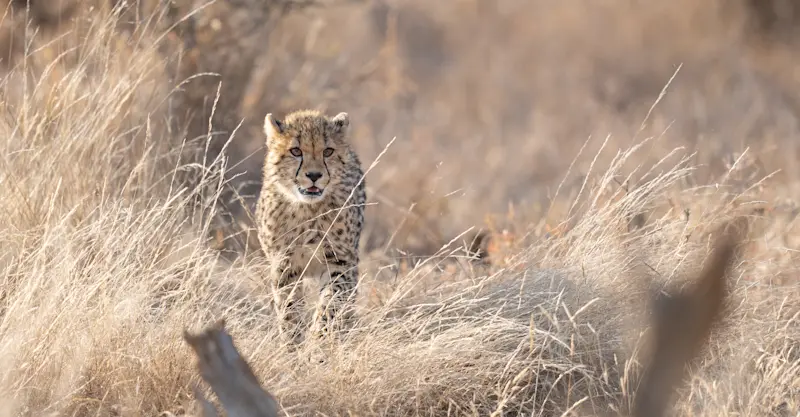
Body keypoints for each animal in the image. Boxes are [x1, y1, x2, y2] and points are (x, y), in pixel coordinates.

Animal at [255, 109, 366, 345]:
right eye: (296, 151)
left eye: (328, 151)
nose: (314, 175)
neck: (308, 209)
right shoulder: (284, 264)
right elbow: (288, 307)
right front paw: (292, 342)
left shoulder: (341, 261)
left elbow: (331, 304)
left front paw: (319, 340)